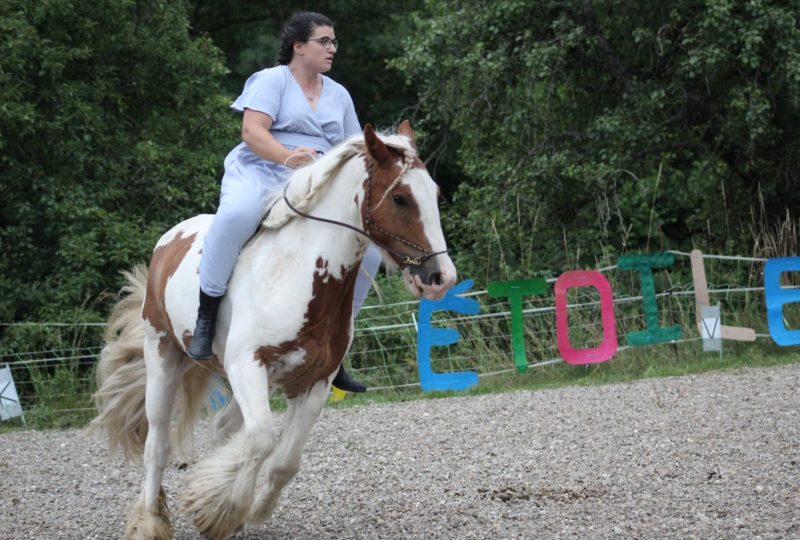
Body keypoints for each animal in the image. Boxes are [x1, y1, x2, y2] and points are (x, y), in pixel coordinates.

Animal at [89, 122, 456, 540]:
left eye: (434, 194)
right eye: (400, 198)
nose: (440, 278)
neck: (300, 273)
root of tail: (170, 240)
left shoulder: (314, 381)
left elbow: (284, 461)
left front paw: (239, 506)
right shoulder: (248, 364)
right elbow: (263, 439)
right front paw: (218, 510)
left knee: (224, 426)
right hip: (163, 356)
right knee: (158, 445)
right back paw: (149, 521)